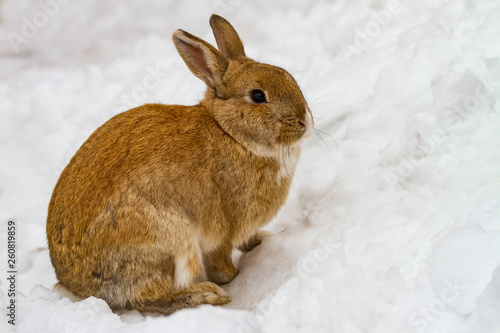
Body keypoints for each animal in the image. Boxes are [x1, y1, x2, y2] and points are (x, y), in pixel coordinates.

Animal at [46, 13, 312, 314]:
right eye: (258, 96)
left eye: (287, 75)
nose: (305, 120)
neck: (230, 132)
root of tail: (77, 285)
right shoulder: (223, 230)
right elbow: (221, 262)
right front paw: (232, 277)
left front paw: (264, 239)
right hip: (172, 241)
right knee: (149, 298)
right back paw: (207, 295)